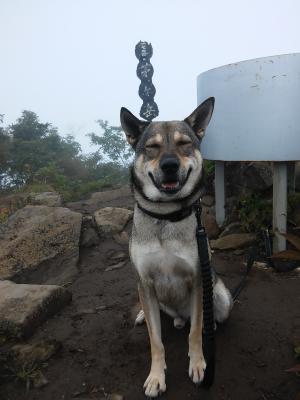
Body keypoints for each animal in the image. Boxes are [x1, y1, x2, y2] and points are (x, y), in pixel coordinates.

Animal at [119, 98, 232, 398]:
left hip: (222, 298)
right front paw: (156, 377)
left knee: (201, 319)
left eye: (184, 143)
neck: (165, 216)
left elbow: (195, 333)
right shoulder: (144, 281)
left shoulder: (197, 278)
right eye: (152, 147)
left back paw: (207, 323)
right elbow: (155, 341)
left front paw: (199, 364)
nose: (169, 165)